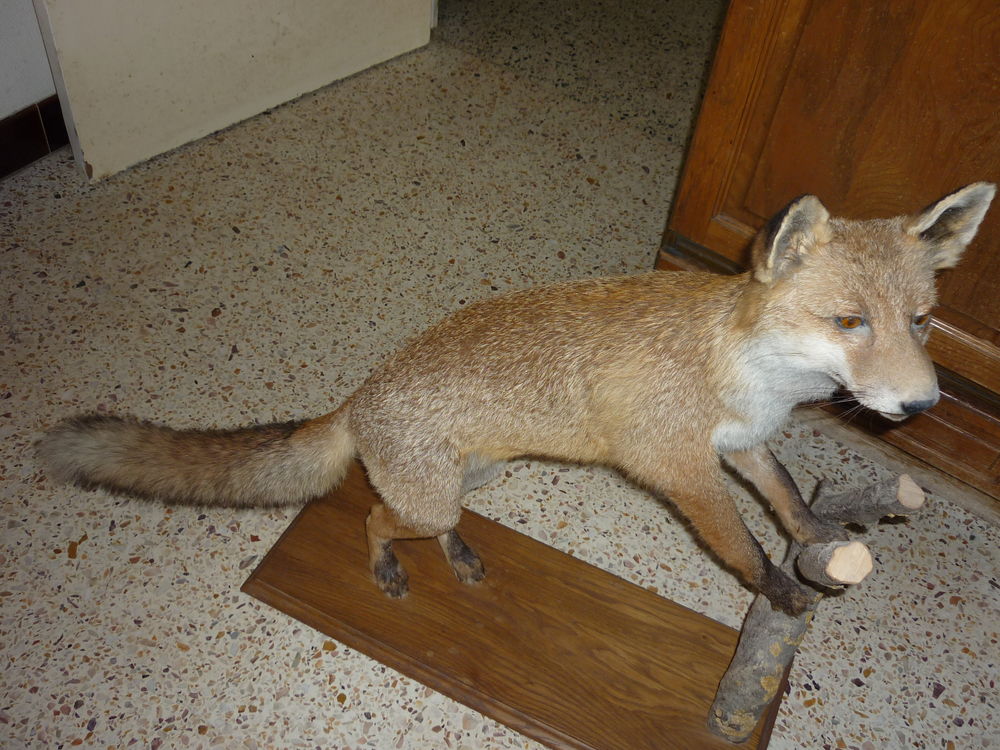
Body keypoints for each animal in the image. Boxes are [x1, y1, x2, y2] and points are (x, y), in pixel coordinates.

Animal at [38, 182, 995, 617]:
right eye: (848, 321)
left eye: (922, 321)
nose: (922, 406)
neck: (750, 377)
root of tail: (360, 393)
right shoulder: (681, 468)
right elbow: (742, 547)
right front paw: (783, 593)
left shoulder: (746, 443)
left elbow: (790, 502)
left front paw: (822, 540)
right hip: (429, 492)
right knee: (374, 521)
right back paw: (388, 568)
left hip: (477, 478)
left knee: (430, 521)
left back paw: (458, 557)